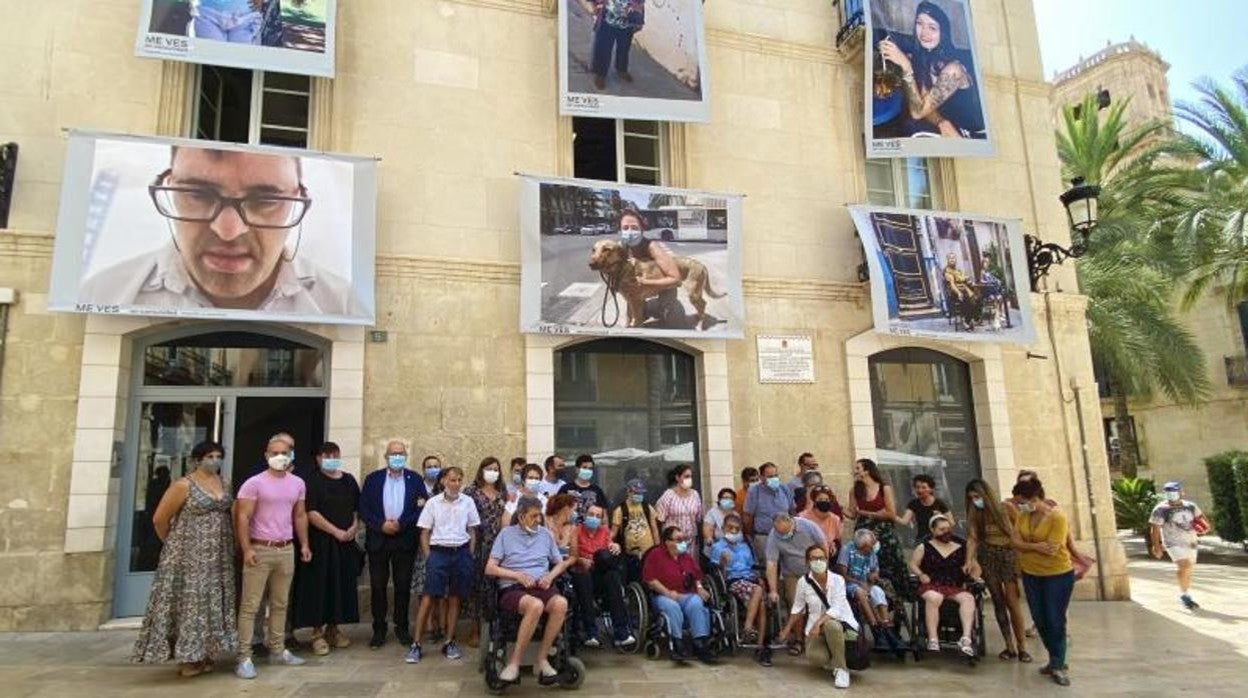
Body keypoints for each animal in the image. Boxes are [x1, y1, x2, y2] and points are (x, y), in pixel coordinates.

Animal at [589, 237, 728, 329]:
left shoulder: (635, 301)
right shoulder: (630, 301)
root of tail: (701, 264)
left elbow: (636, 320)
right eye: (593, 250)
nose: (590, 264)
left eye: (607, 249)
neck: (621, 269)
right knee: (702, 305)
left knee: (703, 304)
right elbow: (628, 317)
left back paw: (700, 325)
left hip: (693, 293)